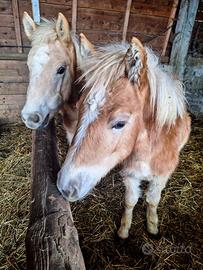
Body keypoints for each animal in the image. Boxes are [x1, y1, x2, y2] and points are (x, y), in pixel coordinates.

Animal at [56, 37, 190, 237]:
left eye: (120, 123)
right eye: (79, 107)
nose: (64, 187)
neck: (148, 150)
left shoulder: (161, 176)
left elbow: (152, 201)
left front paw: (152, 225)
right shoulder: (130, 175)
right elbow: (130, 202)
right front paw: (124, 230)